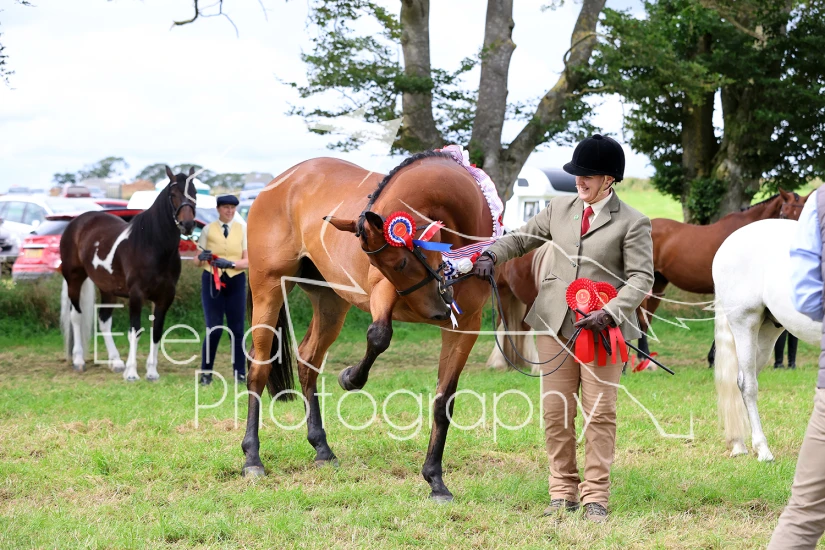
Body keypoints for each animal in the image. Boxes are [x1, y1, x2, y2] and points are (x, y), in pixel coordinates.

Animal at [59, 166, 197, 381]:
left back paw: (116, 362)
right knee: (76, 316)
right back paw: (79, 361)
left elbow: (157, 331)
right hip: (74, 279)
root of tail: (77, 222)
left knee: (104, 320)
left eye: (195, 193)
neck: (153, 246)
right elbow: (135, 330)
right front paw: (132, 373)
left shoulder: (165, 297)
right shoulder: (136, 294)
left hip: (107, 288)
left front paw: (152, 372)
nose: (188, 224)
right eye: (173, 194)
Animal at [242, 151, 494, 501]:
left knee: (308, 358)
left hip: (330, 303)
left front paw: (435, 480)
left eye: (403, 261)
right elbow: (379, 335)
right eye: (390, 265)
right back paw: (252, 458)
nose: (438, 312)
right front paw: (350, 377)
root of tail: (279, 182)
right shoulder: (382, 292)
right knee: (259, 368)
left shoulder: (465, 326)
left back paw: (322, 449)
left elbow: (443, 401)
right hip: (268, 289)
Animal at [713, 219, 819, 462]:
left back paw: (739, 443)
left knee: (741, 380)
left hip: (766, 334)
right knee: (747, 385)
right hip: (744, 323)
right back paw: (762, 449)